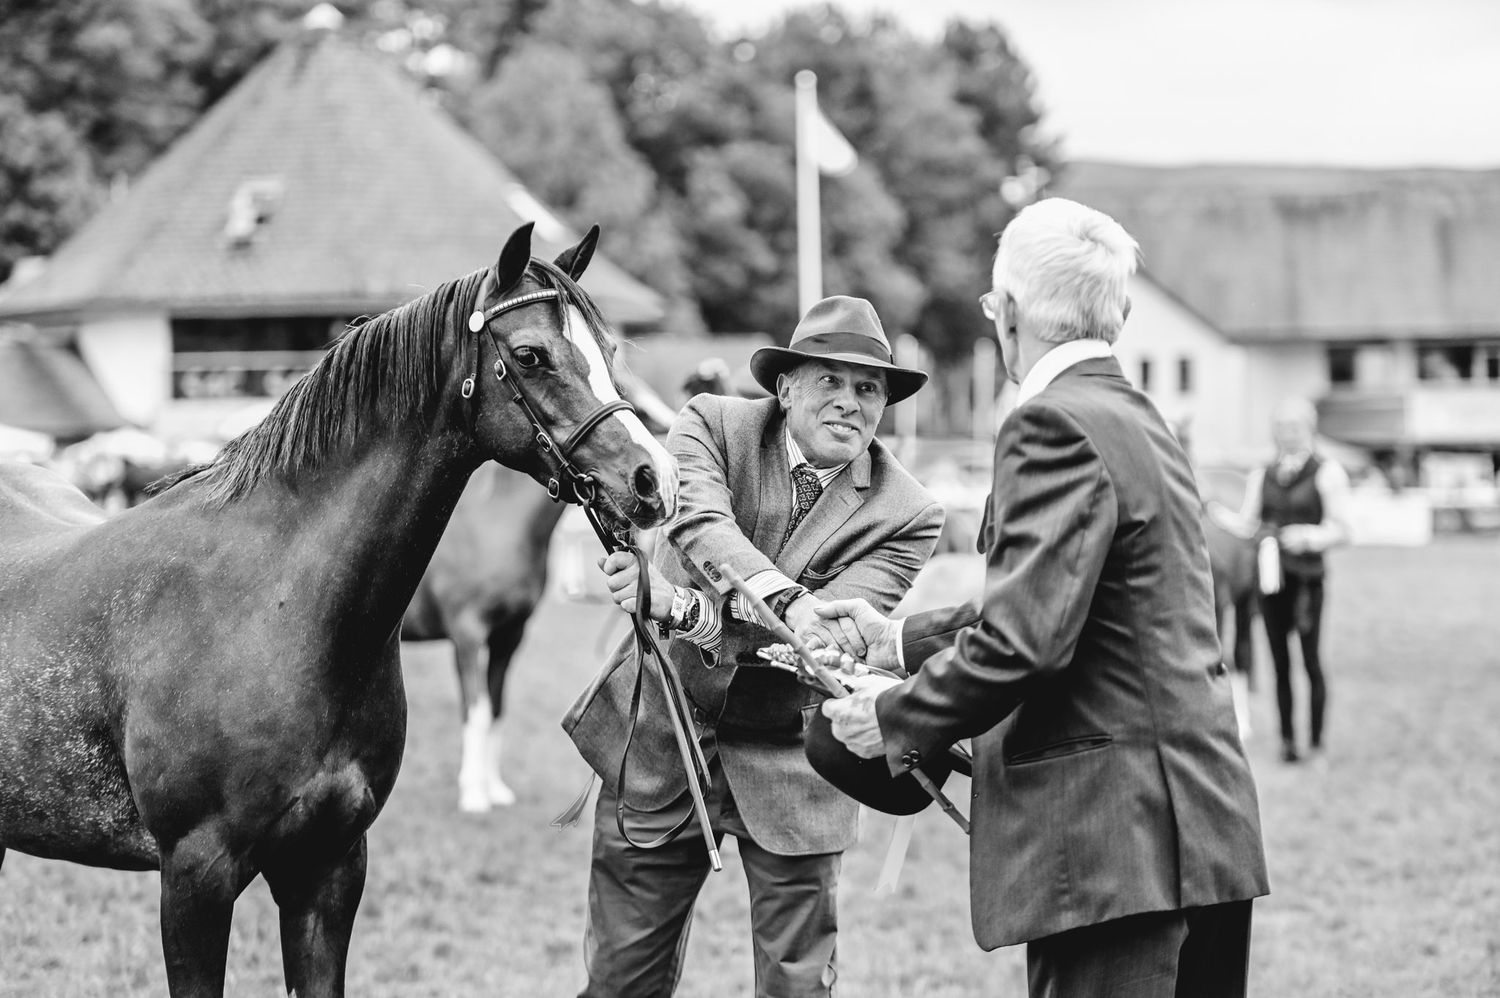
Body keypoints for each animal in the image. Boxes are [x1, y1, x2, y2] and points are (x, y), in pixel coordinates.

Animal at [0, 222, 677, 998]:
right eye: (532, 355)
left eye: (610, 354)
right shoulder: (195, 877)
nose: (654, 479)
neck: (274, 609)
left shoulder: (330, 868)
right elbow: (479, 707)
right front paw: (477, 794)